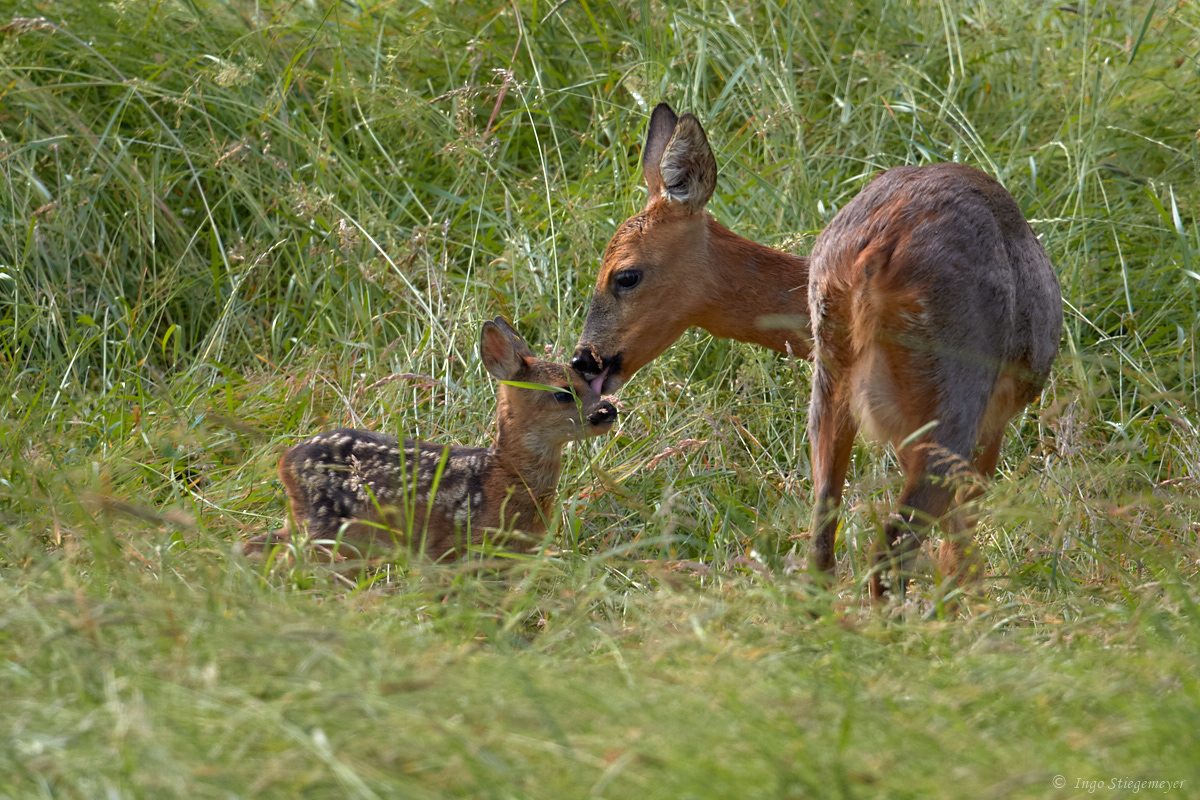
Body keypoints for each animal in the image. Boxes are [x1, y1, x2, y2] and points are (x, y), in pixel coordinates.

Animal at [244, 316, 619, 563]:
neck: (503, 475)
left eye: (588, 383)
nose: (607, 411)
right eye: (562, 393)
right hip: (324, 526)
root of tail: (286, 463)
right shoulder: (455, 546)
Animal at [571, 104, 1060, 594]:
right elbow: (962, 549)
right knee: (897, 549)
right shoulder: (993, 421)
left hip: (833, 389)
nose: (584, 359)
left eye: (625, 275)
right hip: (953, 398)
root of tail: (875, 252)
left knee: (824, 540)